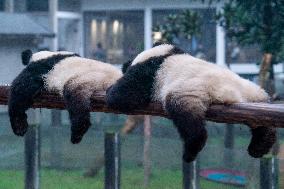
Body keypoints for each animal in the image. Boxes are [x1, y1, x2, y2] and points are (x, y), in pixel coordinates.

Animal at [105, 44, 276, 162]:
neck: (160, 55)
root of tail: (233, 93)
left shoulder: (148, 72)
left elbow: (124, 95)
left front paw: (110, 90)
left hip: (190, 91)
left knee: (186, 116)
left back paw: (191, 149)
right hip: (255, 92)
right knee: (262, 121)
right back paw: (261, 144)